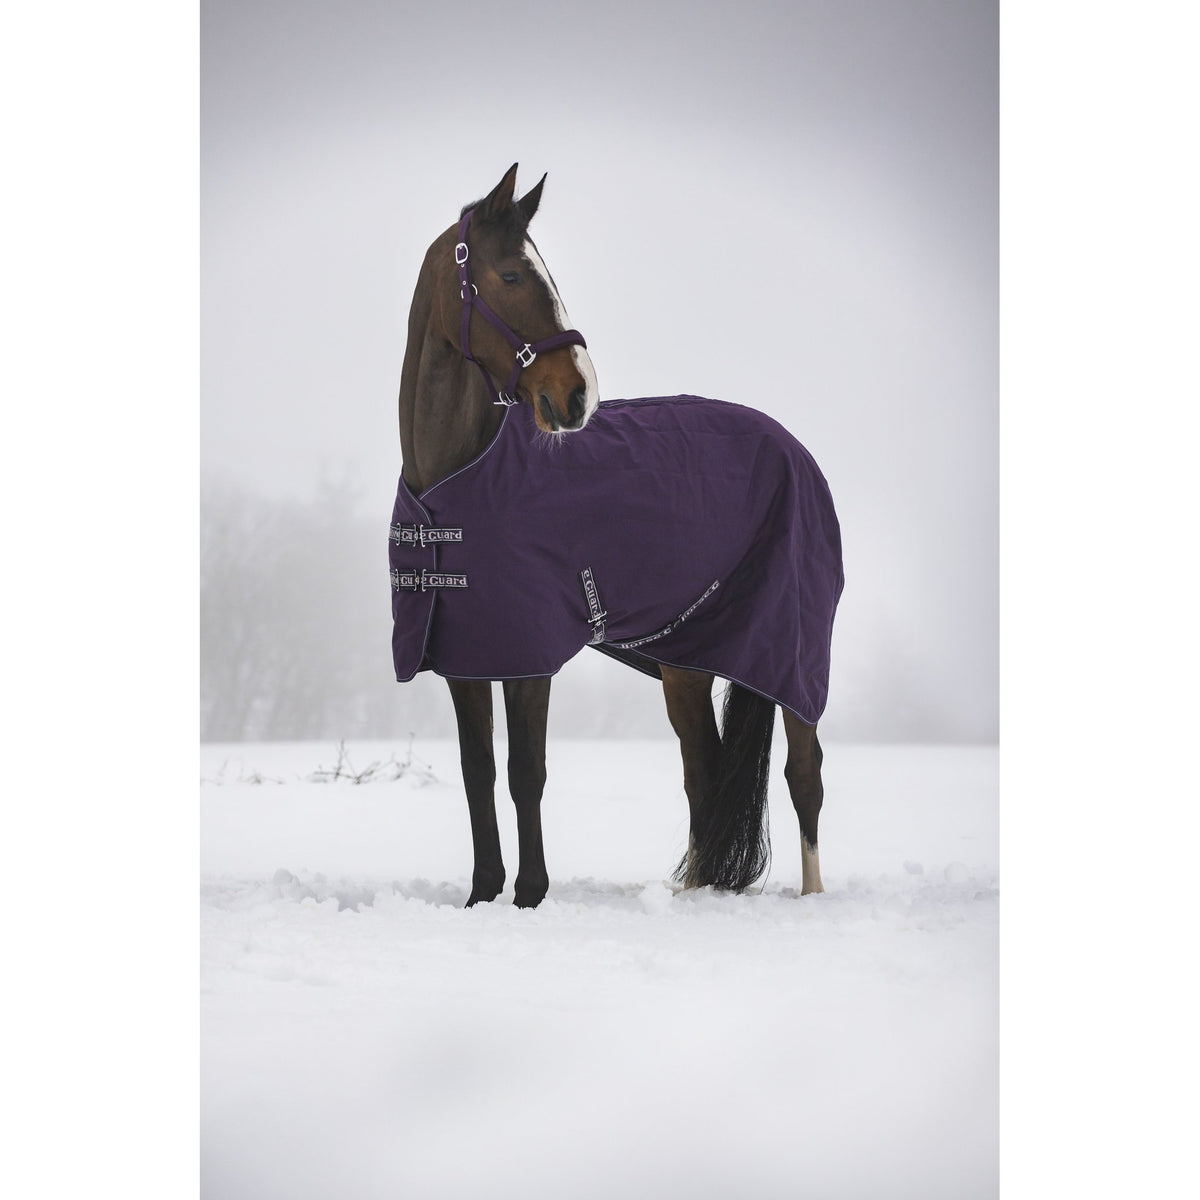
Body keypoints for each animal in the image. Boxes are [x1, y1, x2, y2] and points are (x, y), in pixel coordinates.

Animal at [393, 164, 843, 909]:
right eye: (511, 275)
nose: (578, 395)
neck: (457, 481)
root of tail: (796, 452)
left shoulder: (528, 652)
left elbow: (526, 771)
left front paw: (530, 895)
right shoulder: (466, 652)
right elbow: (477, 769)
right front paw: (483, 894)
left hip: (792, 654)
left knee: (803, 774)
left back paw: (810, 898)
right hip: (688, 664)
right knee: (703, 769)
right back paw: (697, 893)